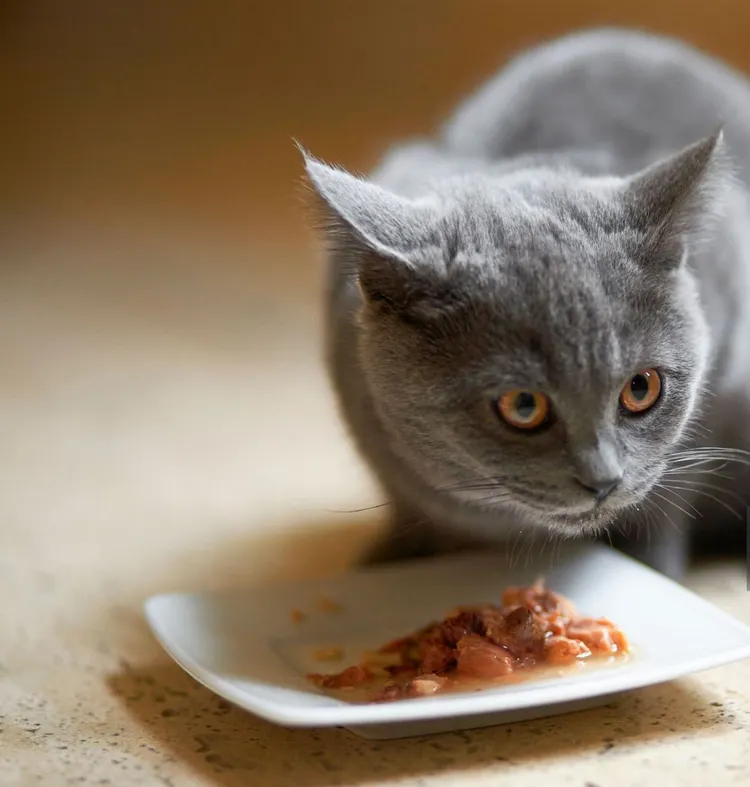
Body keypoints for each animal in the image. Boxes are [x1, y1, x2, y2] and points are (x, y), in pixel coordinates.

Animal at [300, 29, 750, 580]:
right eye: (522, 405)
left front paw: (654, 568)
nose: (604, 480)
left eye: (642, 388)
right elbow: (406, 503)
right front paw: (391, 557)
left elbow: (665, 505)